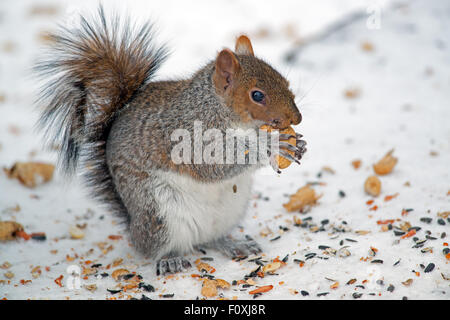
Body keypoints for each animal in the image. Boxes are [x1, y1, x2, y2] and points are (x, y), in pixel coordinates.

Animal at [35, 5, 306, 276]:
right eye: (257, 95)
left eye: (285, 82)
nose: (297, 118)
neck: (217, 107)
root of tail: (133, 226)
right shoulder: (188, 135)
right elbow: (214, 163)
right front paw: (271, 145)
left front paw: (299, 144)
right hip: (158, 213)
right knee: (158, 247)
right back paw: (170, 259)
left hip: (230, 210)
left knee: (212, 238)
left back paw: (233, 244)